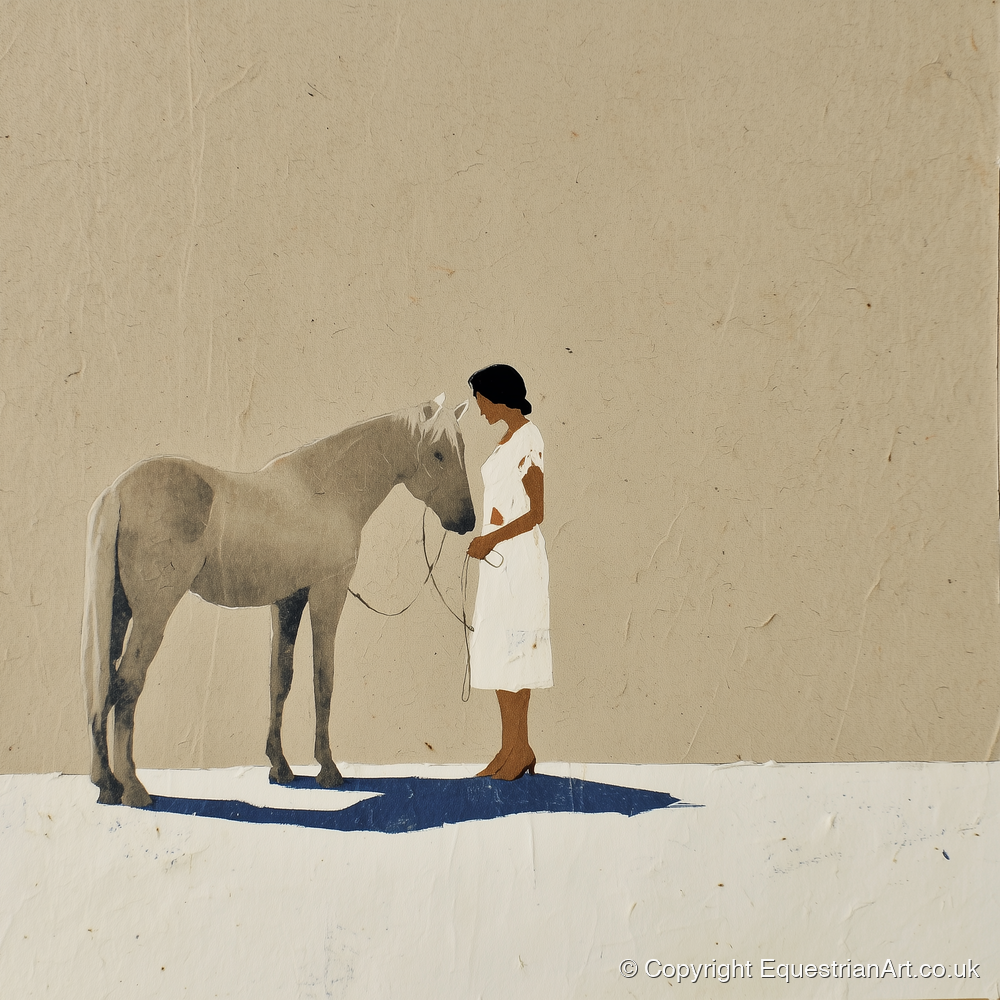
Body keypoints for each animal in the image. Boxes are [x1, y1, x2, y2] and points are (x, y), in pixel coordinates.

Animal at [81, 395, 476, 807]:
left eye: (461, 450)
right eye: (438, 453)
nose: (467, 521)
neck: (328, 491)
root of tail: (117, 491)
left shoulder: (287, 601)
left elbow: (280, 678)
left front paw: (280, 767)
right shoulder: (327, 591)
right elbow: (323, 677)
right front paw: (328, 769)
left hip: (118, 611)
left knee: (102, 682)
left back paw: (107, 783)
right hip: (152, 615)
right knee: (127, 682)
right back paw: (133, 788)